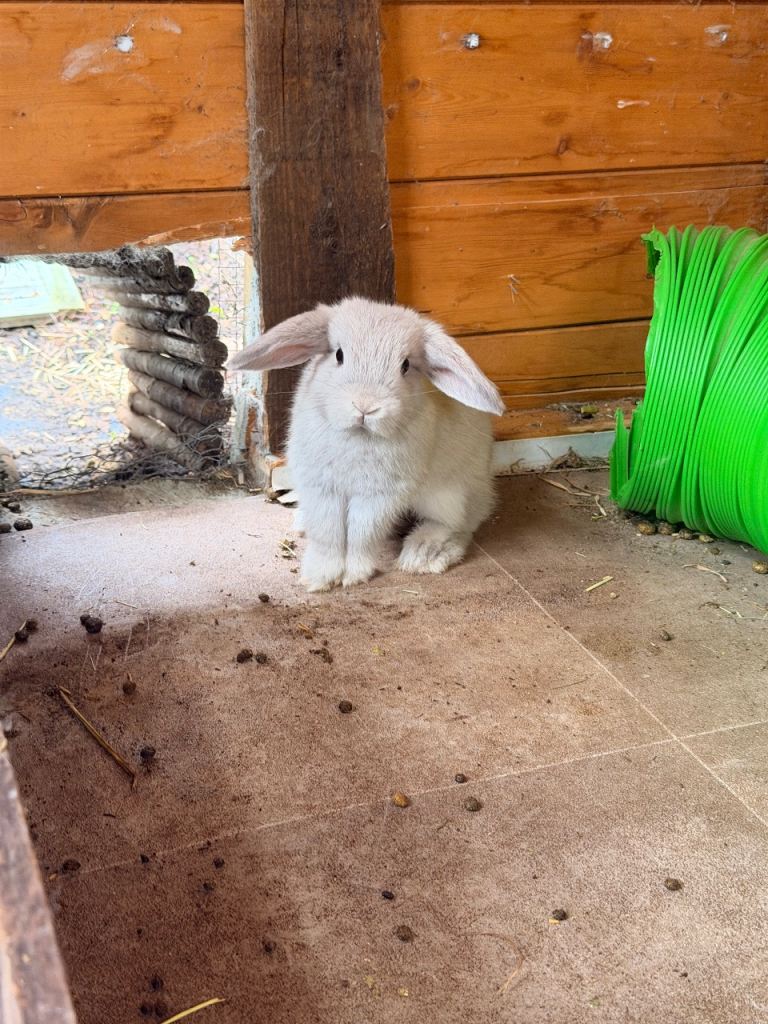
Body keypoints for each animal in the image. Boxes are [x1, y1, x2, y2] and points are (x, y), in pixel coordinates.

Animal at [227, 298, 504, 592]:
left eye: (406, 365)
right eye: (339, 355)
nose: (366, 407)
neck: (358, 436)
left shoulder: (379, 495)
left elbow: (361, 534)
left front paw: (351, 575)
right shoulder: (322, 488)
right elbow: (328, 533)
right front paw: (320, 577)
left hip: (449, 495)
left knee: (460, 525)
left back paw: (424, 554)